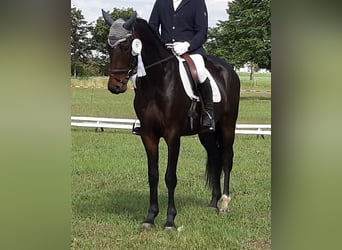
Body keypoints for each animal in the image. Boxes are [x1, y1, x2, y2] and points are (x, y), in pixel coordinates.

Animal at [101, 11, 240, 230]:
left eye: (125, 47)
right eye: (108, 47)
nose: (115, 87)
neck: (157, 81)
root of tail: (228, 70)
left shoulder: (173, 135)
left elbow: (170, 176)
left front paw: (170, 220)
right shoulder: (148, 135)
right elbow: (153, 175)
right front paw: (150, 217)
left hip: (227, 126)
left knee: (226, 158)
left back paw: (225, 204)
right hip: (206, 133)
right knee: (215, 157)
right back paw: (213, 203)